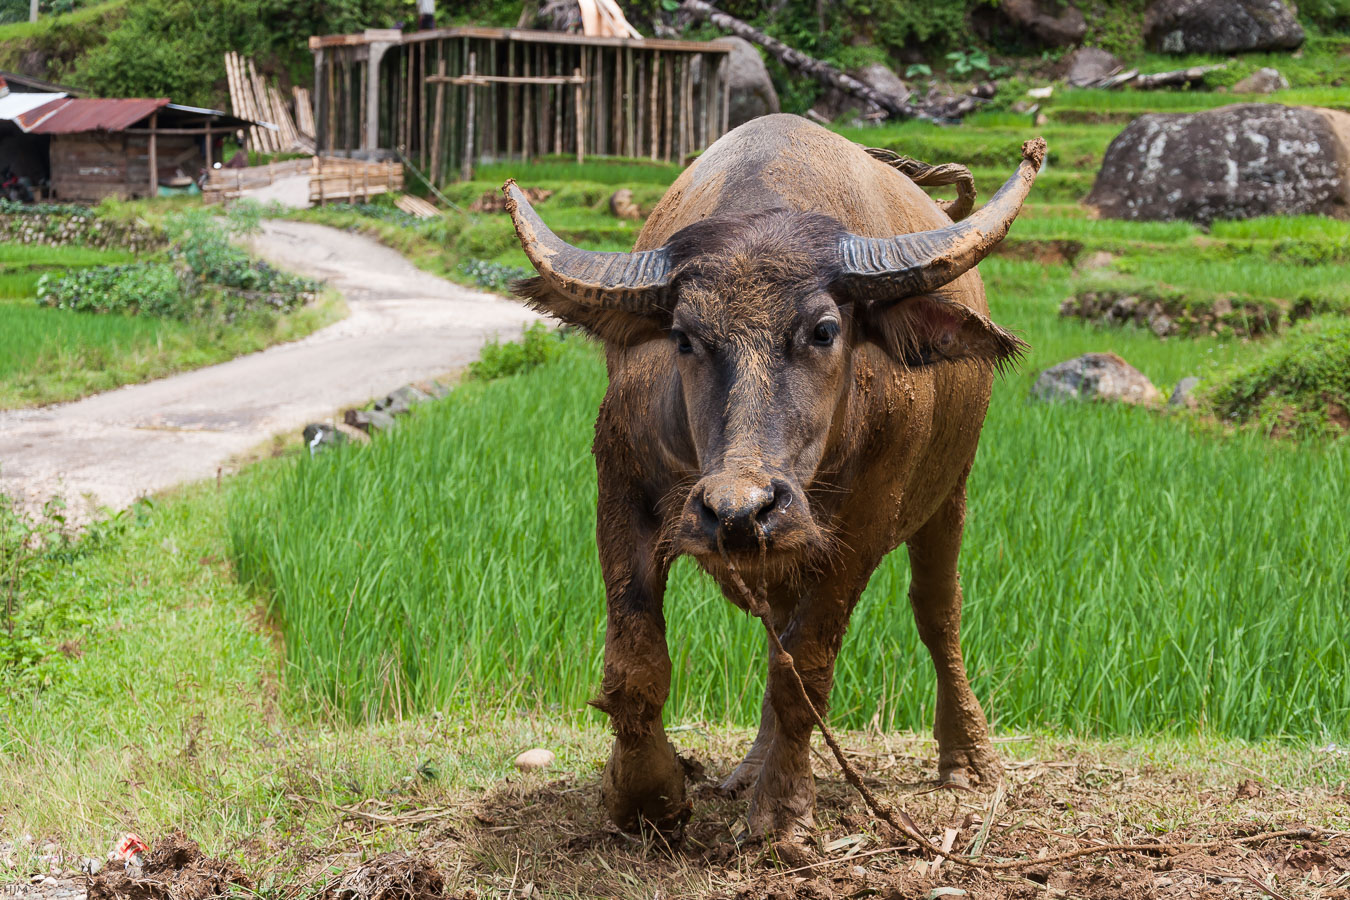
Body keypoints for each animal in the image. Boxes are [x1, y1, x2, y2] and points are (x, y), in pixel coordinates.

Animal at [504, 116, 1042, 841]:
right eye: (683, 336)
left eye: (825, 329)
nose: (740, 510)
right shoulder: (620, 482)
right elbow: (635, 665)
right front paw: (646, 798)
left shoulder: (861, 527)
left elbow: (807, 670)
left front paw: (783, 816)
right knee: (776, 637)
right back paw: (751, 768)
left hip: (948, 492)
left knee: (938, 613)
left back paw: (968, 759)